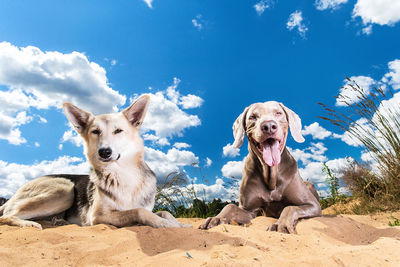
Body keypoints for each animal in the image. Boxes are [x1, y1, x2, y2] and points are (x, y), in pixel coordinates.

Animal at [0, 96, 188, 230]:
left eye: (118, 131)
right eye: (95, 132)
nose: (104, 152)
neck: (124, 175)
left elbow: (163, 212)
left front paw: (178, 223)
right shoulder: (98, 216)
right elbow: (138, 211)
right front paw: (167, 225)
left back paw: (59, 222)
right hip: (64, 189)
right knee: (6, 215)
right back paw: (28, 224)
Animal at [200, 101, 322, 233]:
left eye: (278, 113)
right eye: (252, 117)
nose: (268, 126)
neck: (271, 177)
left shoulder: (313, 205)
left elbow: (290, 207)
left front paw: (280, 224)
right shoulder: (249, 210)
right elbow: (230, 205)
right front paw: (216, 218)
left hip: (310, 185)